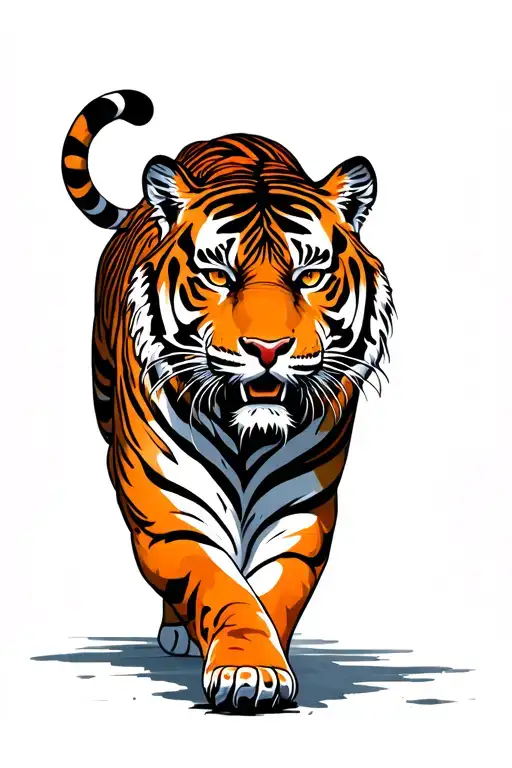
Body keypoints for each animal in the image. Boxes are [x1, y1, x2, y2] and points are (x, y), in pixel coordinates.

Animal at [62, 89, 395, 714]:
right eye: (219, 274)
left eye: (309, 275)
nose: (267, 348)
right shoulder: (166, 506)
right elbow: (221, 586)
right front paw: (247, 669)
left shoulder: (300, 510)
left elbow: (272, 592)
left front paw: (262, 662)